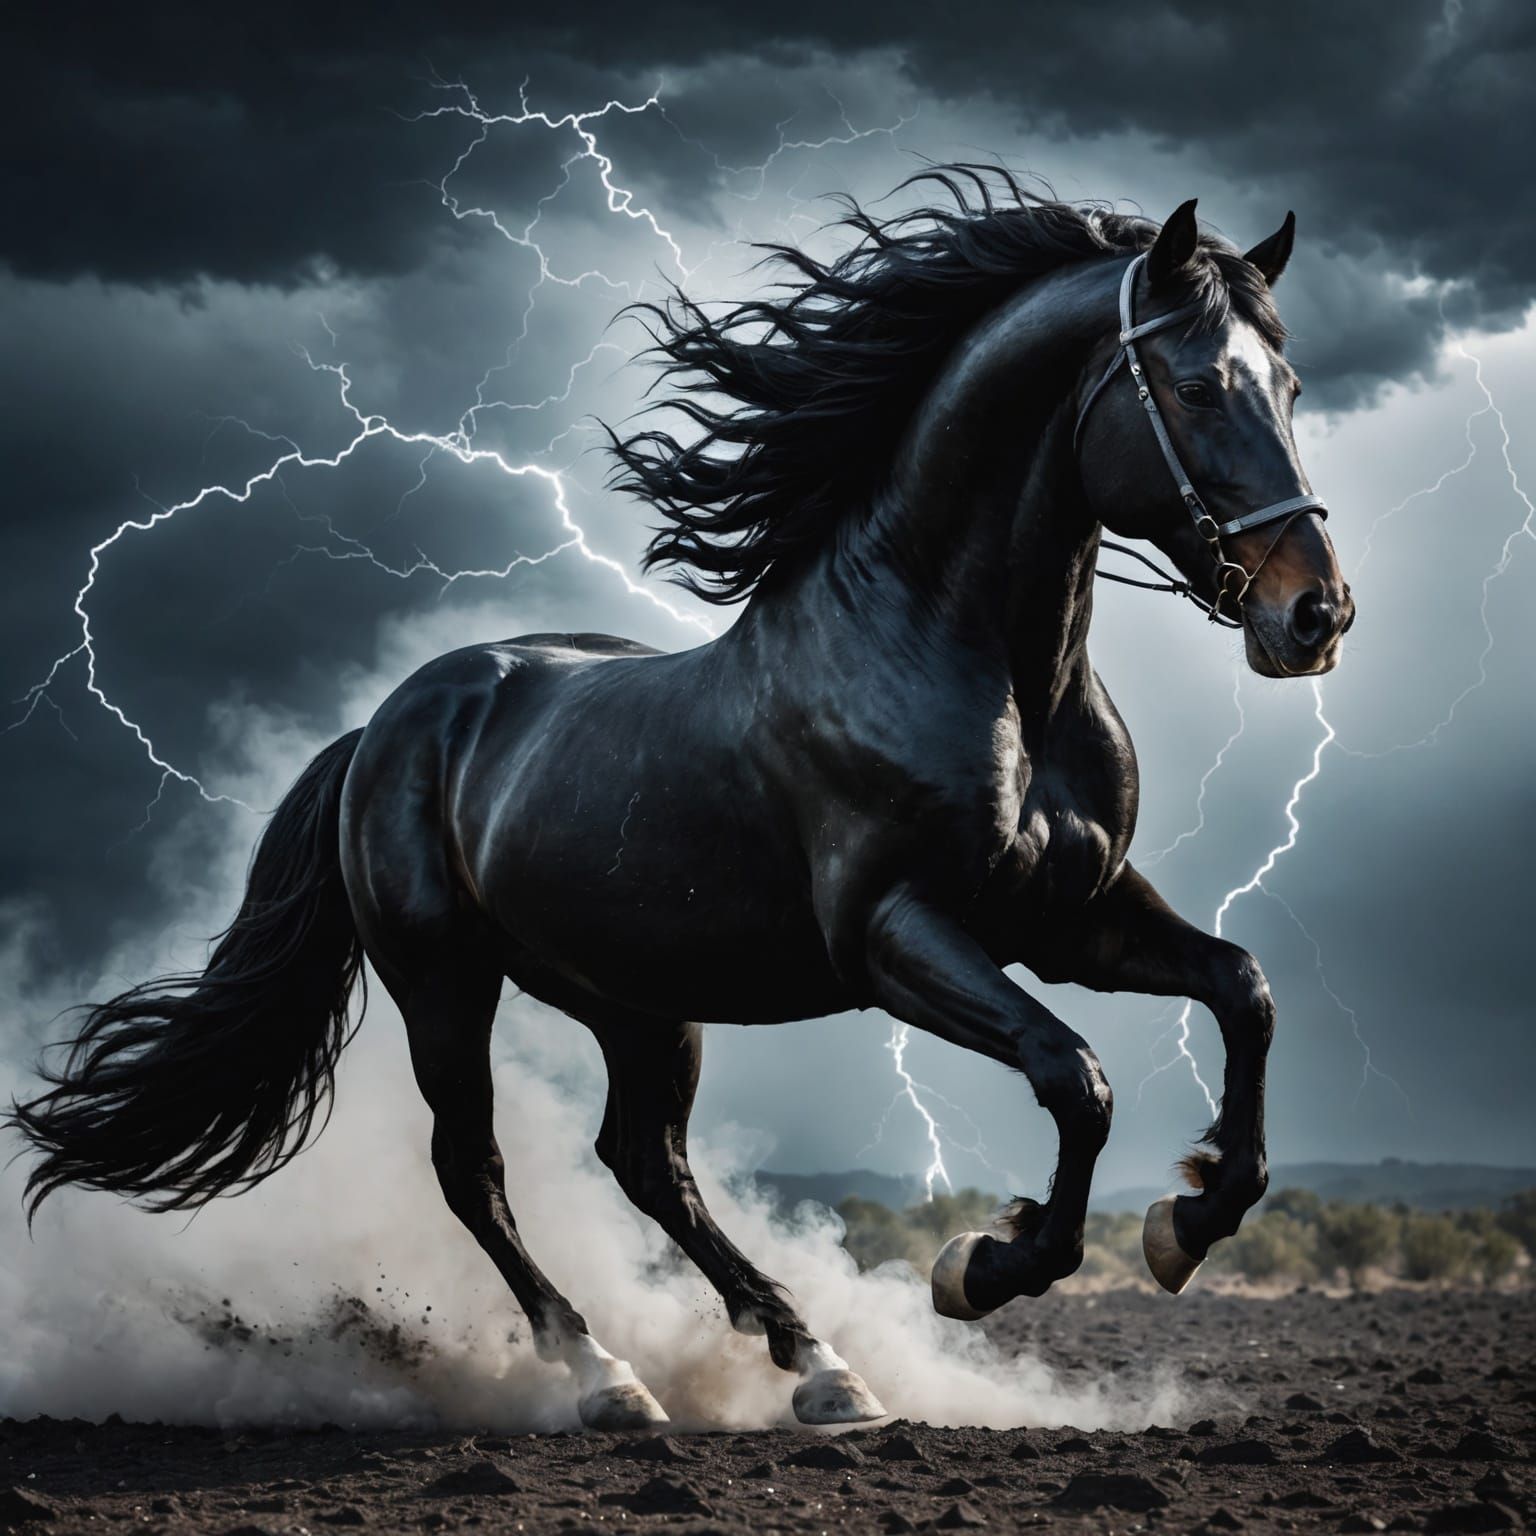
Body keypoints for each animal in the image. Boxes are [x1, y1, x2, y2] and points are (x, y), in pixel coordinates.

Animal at [10, 169, 1354, 1431]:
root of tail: (384, 728)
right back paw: (605, 1375)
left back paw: (822, 1370)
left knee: (646, 1163)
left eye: (1289, 389)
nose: (1315, 615)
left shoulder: (1069, 921)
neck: (977, 663)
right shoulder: (896, 937)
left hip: (637, 997)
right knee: (475, 1167)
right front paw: (984, 1266)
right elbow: (1075, 1074)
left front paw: (1189, 1221)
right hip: (445, 978)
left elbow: (1243, 991)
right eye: (1195, 387)